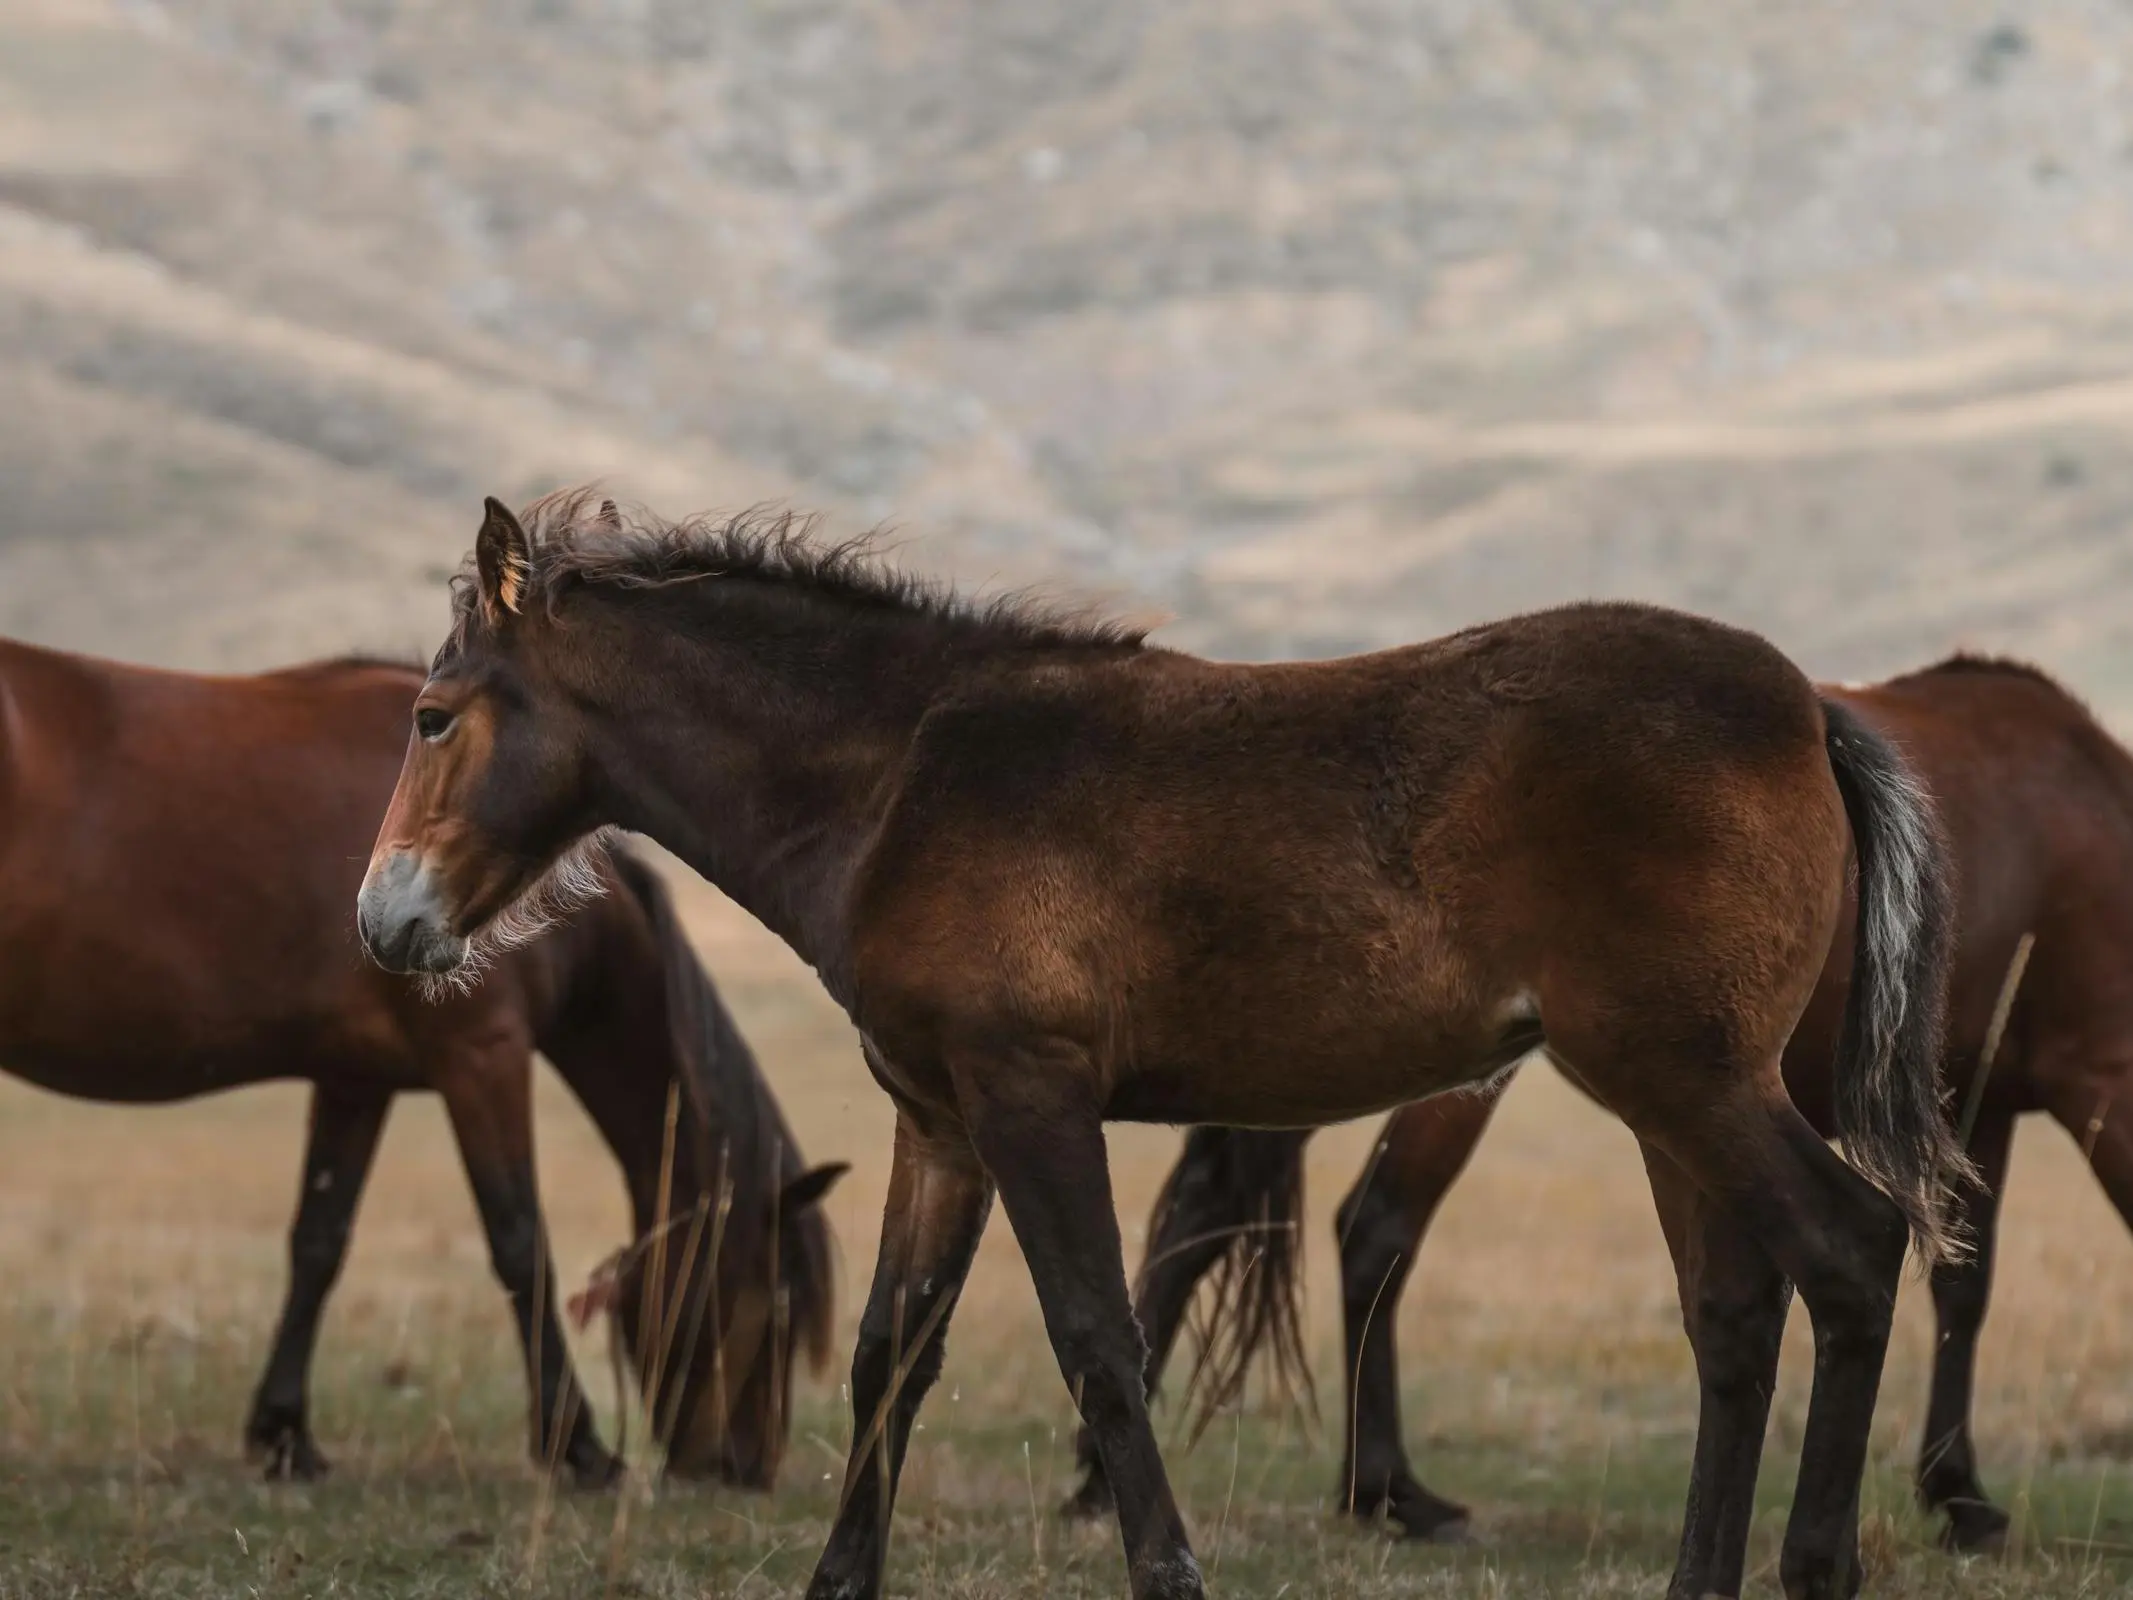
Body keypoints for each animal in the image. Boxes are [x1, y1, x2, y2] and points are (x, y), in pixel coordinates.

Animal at [0, 640, 848, 1493]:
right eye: (775, 1301)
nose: (742, 1467)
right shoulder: (482, 1058)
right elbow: (520, 1242)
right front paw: (577, 1445)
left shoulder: (355, 1082)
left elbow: (318, 1243)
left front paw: (284, 1435)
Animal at [1075, 648, 2124, 1553]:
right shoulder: (2078, 1080)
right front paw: (1961, 1496)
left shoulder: (1980, 1103)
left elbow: (1960, 1284)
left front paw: (1951, 1488)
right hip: (1459, 1079)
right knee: (1375, 1227)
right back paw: (1385, 1490)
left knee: (1214, 1213)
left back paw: (1119, 1474)